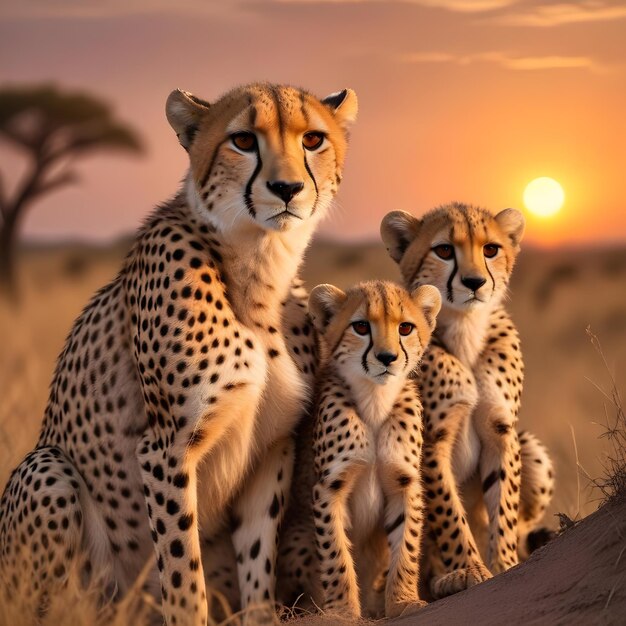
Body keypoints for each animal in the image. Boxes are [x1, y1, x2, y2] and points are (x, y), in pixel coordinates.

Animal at [0, 83, 358, 624]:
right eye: (243, 140)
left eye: (313, 138)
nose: (287, 188)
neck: (258, 270)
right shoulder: (165, 447)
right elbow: (183, 570)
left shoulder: (273, 448)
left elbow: (258, 559)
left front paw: (259, 616)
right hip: (47, 470)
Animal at [280, 280, 442, 616]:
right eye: (361, 326)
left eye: (405, 327)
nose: (387, 357)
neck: (375, 399)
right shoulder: (329, 487)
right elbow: (335, 552)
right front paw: (342, 612)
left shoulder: (404, 483)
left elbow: (406, 546)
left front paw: (403, 601)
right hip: (297, 536)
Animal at [378, 202, 552, 596]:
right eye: (444, 250)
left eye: (491, 249)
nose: (475, 282)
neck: (465, 330)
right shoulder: (430, 444)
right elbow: (448, 514)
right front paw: (469, 570)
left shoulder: (501, 431)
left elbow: (503, 506)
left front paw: (503, 565)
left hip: (532, 449)